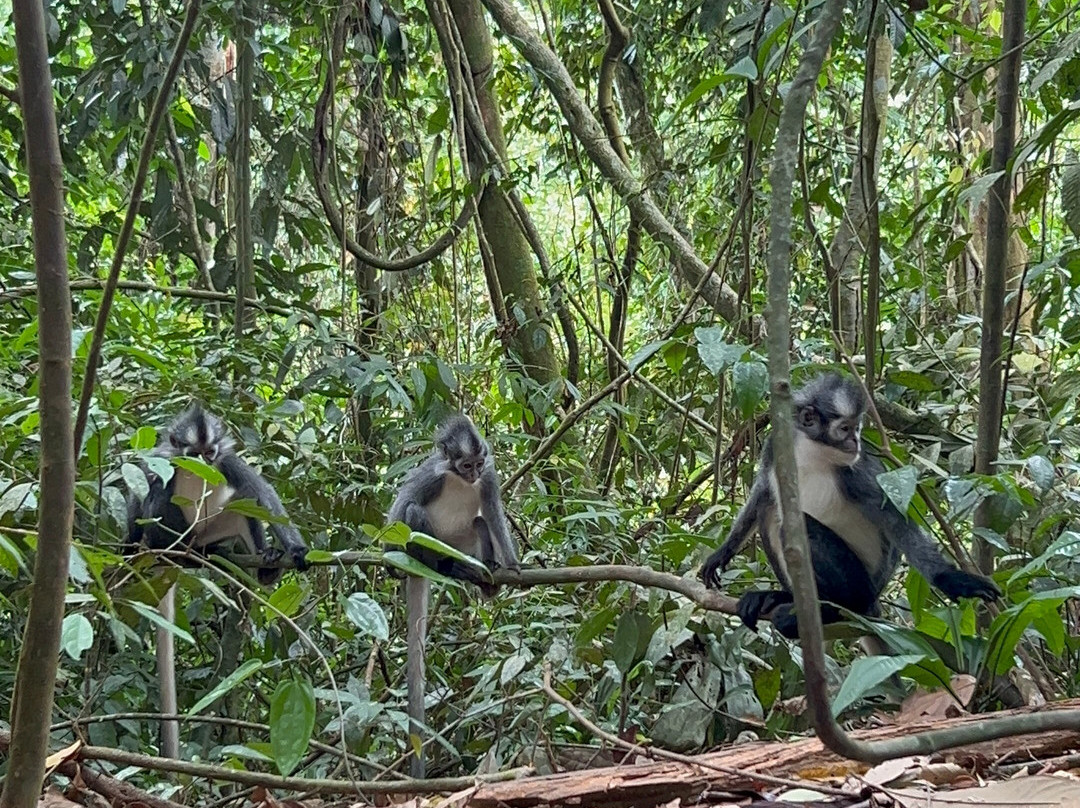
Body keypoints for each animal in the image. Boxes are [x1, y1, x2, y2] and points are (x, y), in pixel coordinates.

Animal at [126, 404, 309, 758]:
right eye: (193, 454)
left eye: (209, 453)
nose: (205, 463)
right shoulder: (162, 460)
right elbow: (140, 491)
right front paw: (125, 548)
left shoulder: (227, 463)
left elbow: (262, 494)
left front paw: (293, 550)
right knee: (158, 496)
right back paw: (172, 549)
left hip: (216, 528)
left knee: (246, 501)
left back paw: (264, 564)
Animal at [387, 414, 520, 777]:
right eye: (465, 465)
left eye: (479, 464)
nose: (473, 474)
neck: (459, 480)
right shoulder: (432, 474)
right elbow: (404, 500)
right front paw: (388, 556)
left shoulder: (490, 478)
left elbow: (493, 515)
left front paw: (513, 566)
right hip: (426, 543)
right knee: (414, 513)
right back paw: (439, 565)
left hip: (464, 543)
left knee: (478, 524)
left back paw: (484, 577)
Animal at [701, 372, 999, 639]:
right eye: (845, 429)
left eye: (857, 429)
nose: (854, 441)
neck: (811, 450)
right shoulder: (775, 447)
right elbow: (762, 493)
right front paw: (722, 553)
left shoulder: (855, 470)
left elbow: (892, 518)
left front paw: (952, 580)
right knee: (771, 511)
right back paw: (784, 596)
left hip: (860, 584)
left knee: (796, 527)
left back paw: (835, 609)